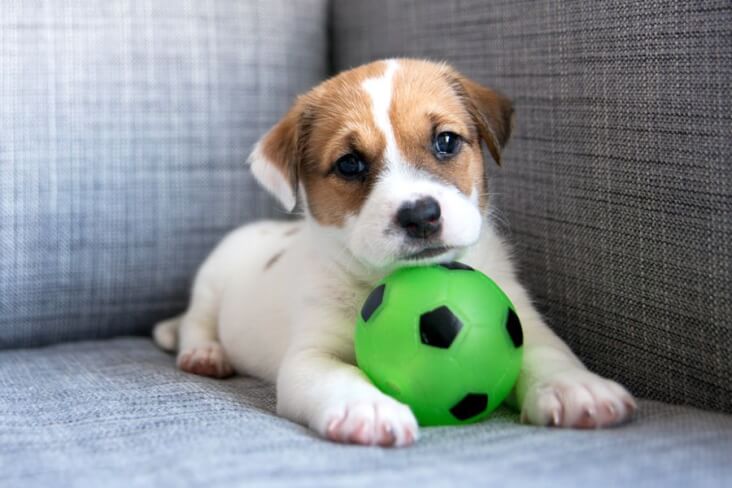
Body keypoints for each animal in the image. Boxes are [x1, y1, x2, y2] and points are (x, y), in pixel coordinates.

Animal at [153, 58, 636, 446]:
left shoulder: (522, 320)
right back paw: (205, 353)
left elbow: (548, 353)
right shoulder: (311, 355)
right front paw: (367, 408)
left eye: (446, 141)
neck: (382, 277)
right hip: (212, 283)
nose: (420, 215)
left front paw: (577, 388)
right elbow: (341, 375)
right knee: (197, 322)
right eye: (350, 164)